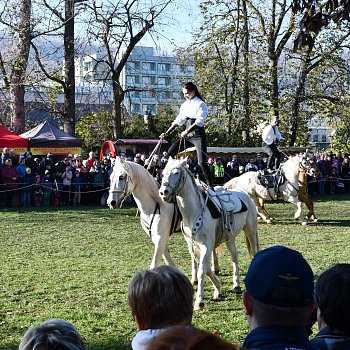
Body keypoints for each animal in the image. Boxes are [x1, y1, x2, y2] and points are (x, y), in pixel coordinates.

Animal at [159, 157, 260, 310]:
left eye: (176, 173)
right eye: (163, 172)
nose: (163, 192)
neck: (194, 212)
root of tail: (245, 195)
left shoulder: (207, 244)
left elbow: (202, 270)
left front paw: (199, 301)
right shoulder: (193, 244)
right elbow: (204, 266)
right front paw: (217, 289)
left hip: (250, 230)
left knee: (254, 252)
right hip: (229, 238)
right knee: (235, 257)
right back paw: (236, 284)